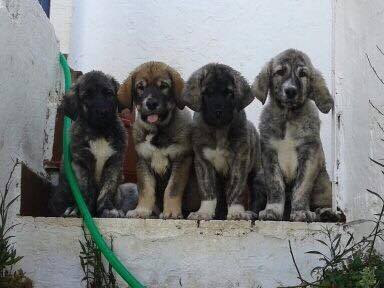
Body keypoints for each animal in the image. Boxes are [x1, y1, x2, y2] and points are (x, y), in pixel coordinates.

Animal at [47, 71, 126, 217]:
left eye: (108, 93)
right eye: (86, 96)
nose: (102, 112)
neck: (99, 132)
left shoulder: (114, 163)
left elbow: (108, 189)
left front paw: (107, 208)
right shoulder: (80, 164)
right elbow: (85, 190)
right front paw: (81, 209)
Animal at [181, 63, 264, 220]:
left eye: (228, 93)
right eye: (207, 93)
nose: (218, 112)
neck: (219, 130)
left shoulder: (239, 161)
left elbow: (236, 189)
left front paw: (236, 211)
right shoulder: (203, 162)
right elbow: (207, 190)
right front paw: (204, 212)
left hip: (257, 173)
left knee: (257, 194)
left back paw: (251, 211)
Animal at [252, 48, 340, 222]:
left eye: (303, 74)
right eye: (280, 72)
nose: (291, 91)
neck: (288, 116)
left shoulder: (310, 155)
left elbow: (302, 187)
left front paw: (300, 212)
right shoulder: (269, 155)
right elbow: (275, 186)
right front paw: (272, 211)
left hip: (323, 183)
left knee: (323, 202)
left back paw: (326, 213)